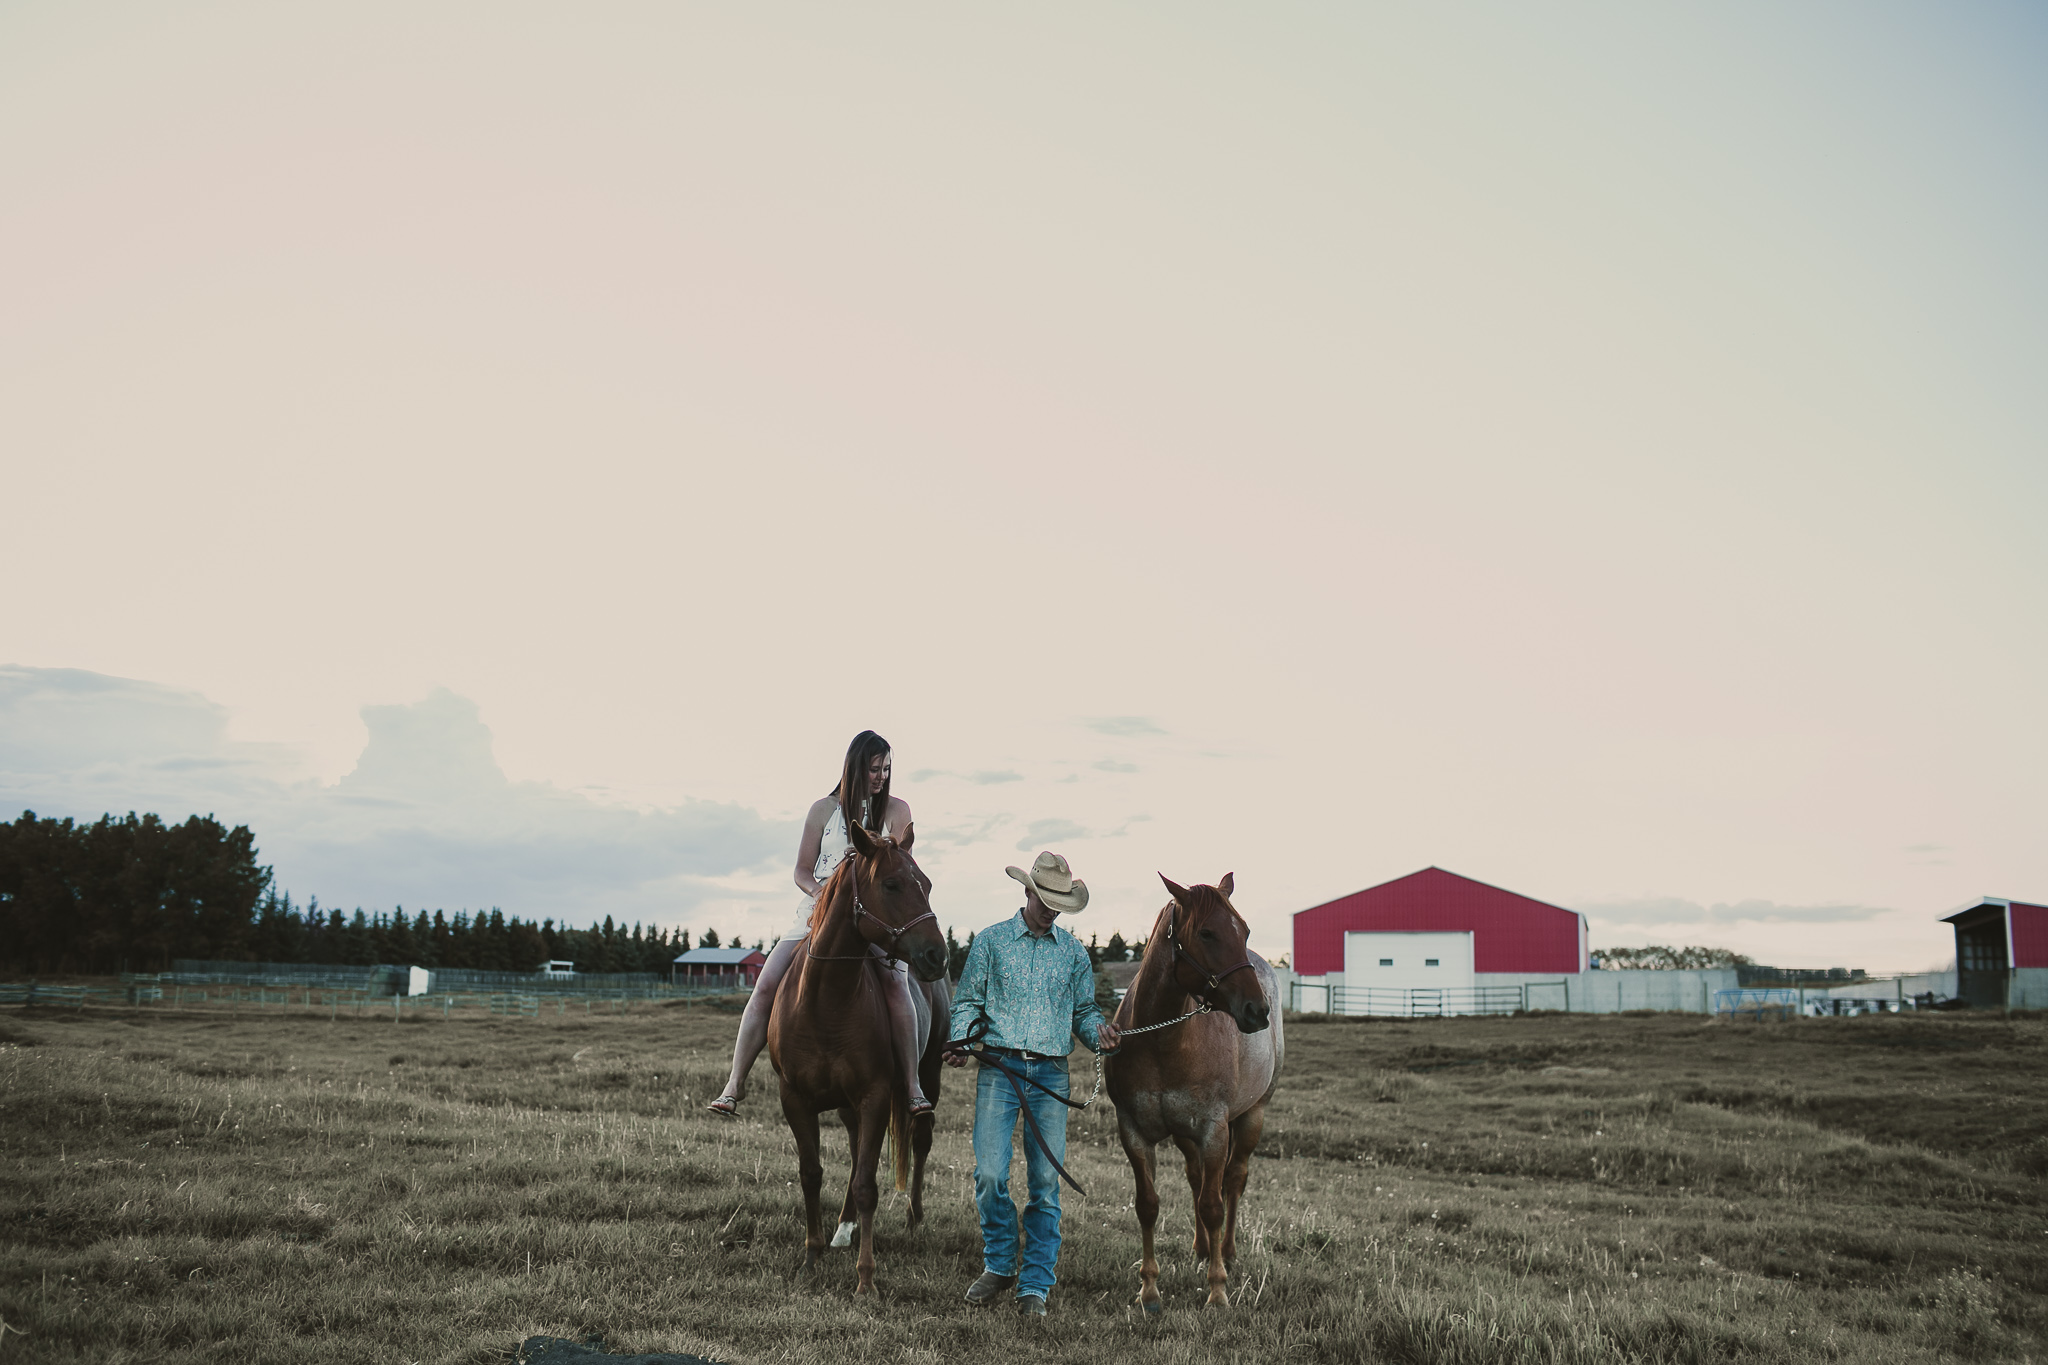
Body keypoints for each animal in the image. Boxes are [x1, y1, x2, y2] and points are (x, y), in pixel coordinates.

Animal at [770, 818, 950, 1301]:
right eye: (891, 884)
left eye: (926, 884)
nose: (937, 955)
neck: (826, 1001)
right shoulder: (795, 1099)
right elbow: (812, 1173)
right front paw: (811, 1257)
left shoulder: (874, 1097)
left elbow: (867, 1184)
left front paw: (865, 1278)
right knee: (853, 1154)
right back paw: (843, 1228)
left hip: (927, 1078)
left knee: (920, 1140)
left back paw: (913, 1216)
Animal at [1105, 875, 1277, 1309]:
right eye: (1206, 933)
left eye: (1244, 931)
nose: (1257, 1011)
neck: (1162, 1040)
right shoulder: (1134, 1131)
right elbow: (1148, 1206)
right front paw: (1149, 1290)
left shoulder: (1214, 1130)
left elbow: (1214, 1206)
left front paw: (1217, 1291)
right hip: (1186, 1135)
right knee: (1197, 1178)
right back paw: (1202, 1248)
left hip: (1253, 1115)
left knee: (1233, 1179)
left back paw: (1226, 1252)